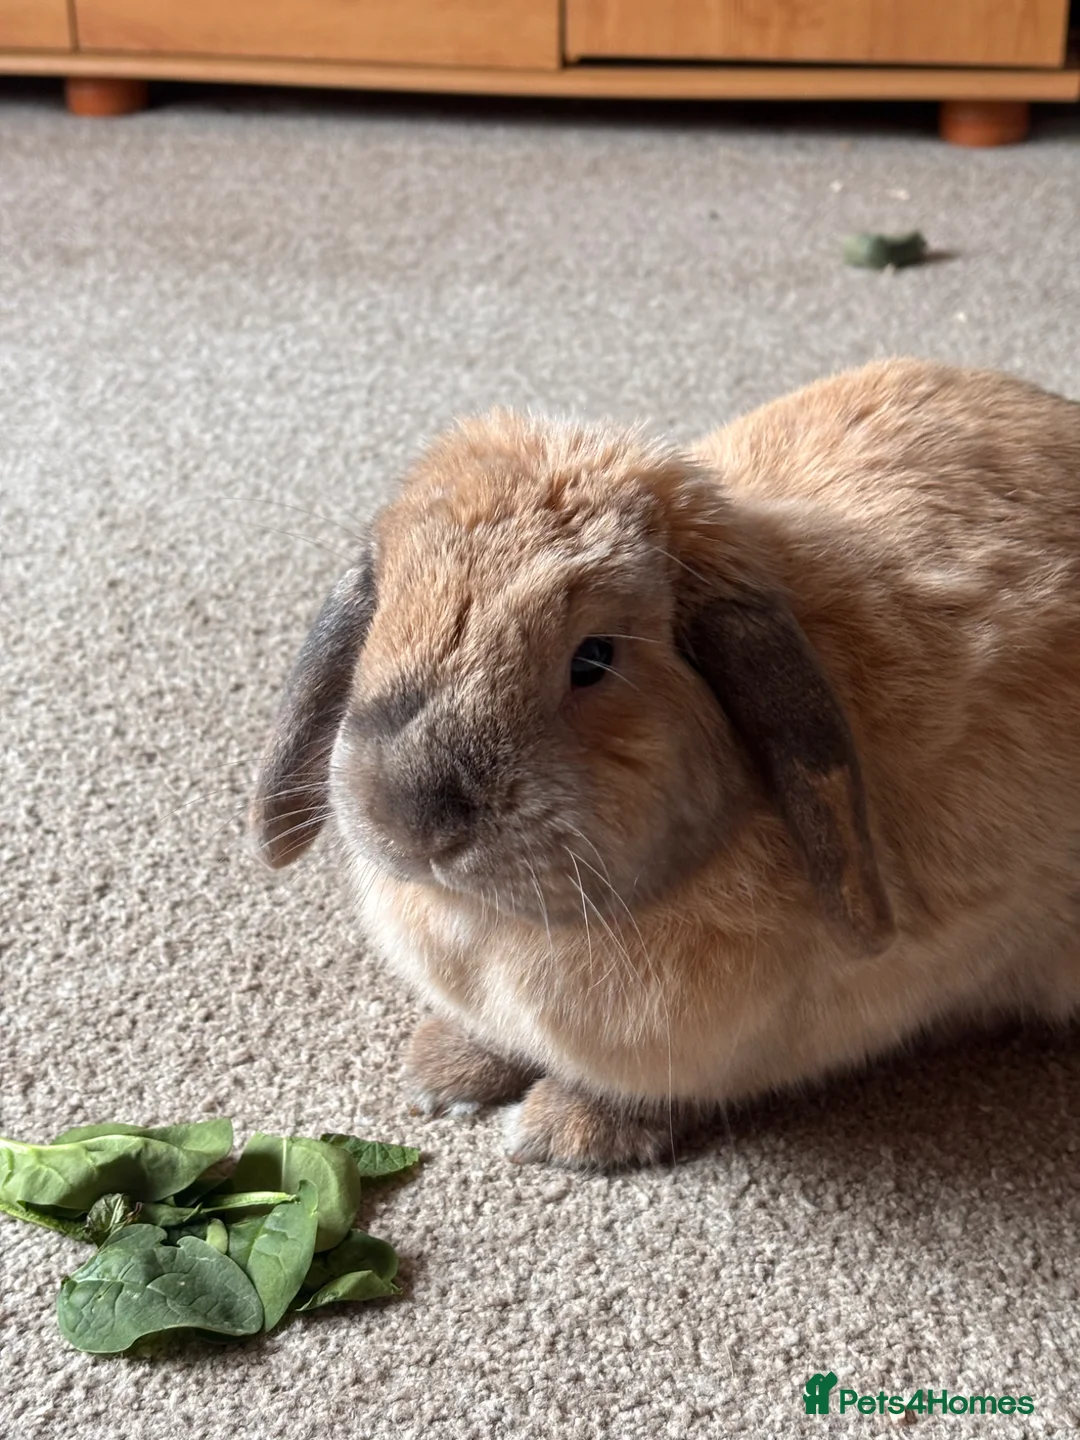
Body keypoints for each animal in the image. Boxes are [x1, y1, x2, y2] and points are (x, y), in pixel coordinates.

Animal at [251, 358, 1080, 1169]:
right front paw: (444, 1069)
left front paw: (566, 1132)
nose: (410, 819)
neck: (495, 925)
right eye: (381, 618)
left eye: (594, 658)